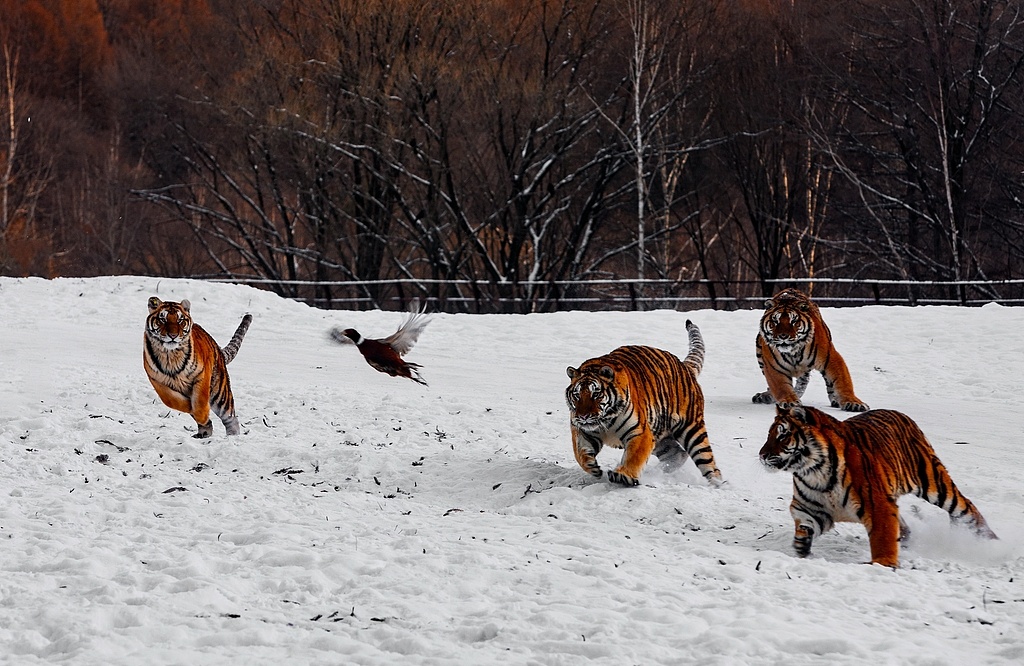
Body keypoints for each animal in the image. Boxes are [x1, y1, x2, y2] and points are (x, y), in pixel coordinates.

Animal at [143, 295, 252, 436]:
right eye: (162, 319)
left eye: (180, 320)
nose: (173, 336)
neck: (170, 355)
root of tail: (217, 347)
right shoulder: (157, 381)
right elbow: (172, 400)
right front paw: (189, 407)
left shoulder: (202, 376)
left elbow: (200, 401)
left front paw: (201, 415)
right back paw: (204, 433)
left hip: (220, 394)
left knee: (231, 418)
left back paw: (233, 436)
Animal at [565, 319, 724, 485]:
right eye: (577, 395)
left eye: (596, 394)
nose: (583, 416)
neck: (605, 420)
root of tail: (684, 366)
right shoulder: (582, 431)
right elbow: (579, 453)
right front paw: (593, 468)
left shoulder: (640, 432)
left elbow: (634, 457)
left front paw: (623, 476)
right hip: (661, 437)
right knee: (677, 453)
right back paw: (661, 471)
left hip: (692, 430)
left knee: (707, 461)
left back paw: (718, 484)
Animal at [765, 399, 995, 565]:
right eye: (769, 434)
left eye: (782, 436)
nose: (762, 455)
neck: (813, 471)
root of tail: (901, 414)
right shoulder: (810, 507)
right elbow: (805, 525)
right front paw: (800, 547)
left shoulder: (878, 506)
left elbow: (882, 537)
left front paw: (883, 564)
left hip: (934, 482)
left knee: (965, 507)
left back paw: (992, 542)